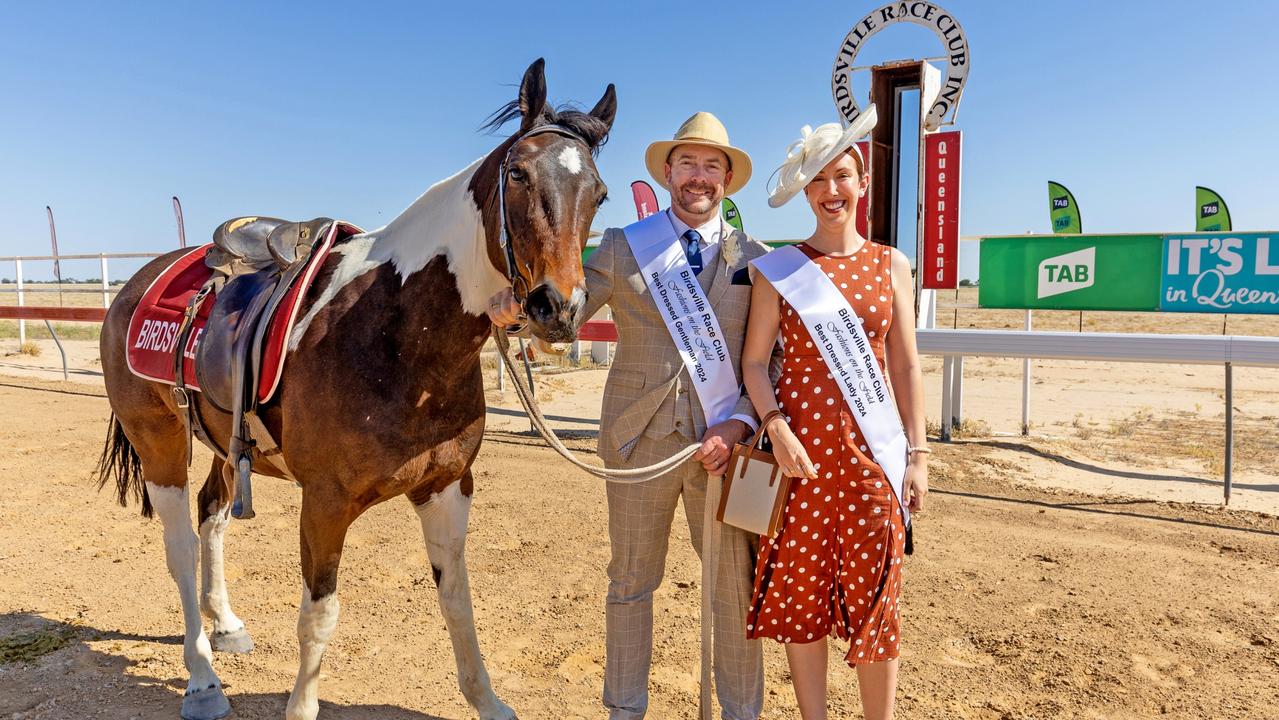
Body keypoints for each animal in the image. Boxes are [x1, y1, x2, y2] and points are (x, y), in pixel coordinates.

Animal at [94, 57, 613, 720]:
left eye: (598, 193)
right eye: (518, 173)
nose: (559, 308)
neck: (399, 335)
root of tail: (136, 282)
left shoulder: (447, 487)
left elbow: (458, 601)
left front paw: (488, 701)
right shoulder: (326, 503)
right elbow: (319, 618)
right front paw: (299, 707)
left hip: (224, 447)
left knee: (211, 517)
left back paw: (226, 623)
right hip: (159, 443)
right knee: (180, 547)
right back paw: (202, 679)